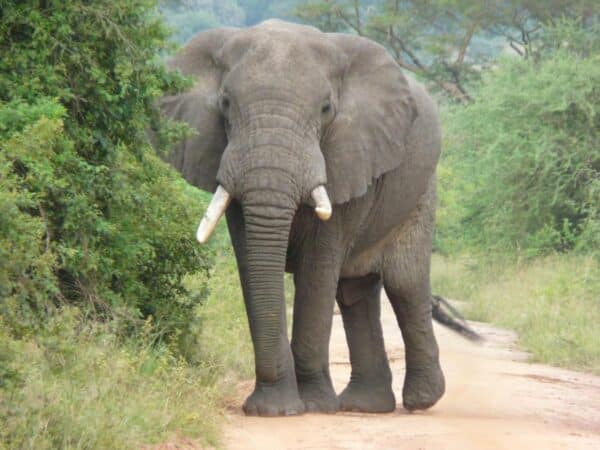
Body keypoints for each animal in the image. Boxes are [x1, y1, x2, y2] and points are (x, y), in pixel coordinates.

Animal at [159, 19, 450, 416]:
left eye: (326, 108)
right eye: (225, 104)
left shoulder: (347, 155)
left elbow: (317, 268)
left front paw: (310, 406)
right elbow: (252, 262)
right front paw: (274, 409)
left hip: (421, 189)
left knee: (404, 280)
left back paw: (420, 401)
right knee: (355, 292)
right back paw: (364, 405)